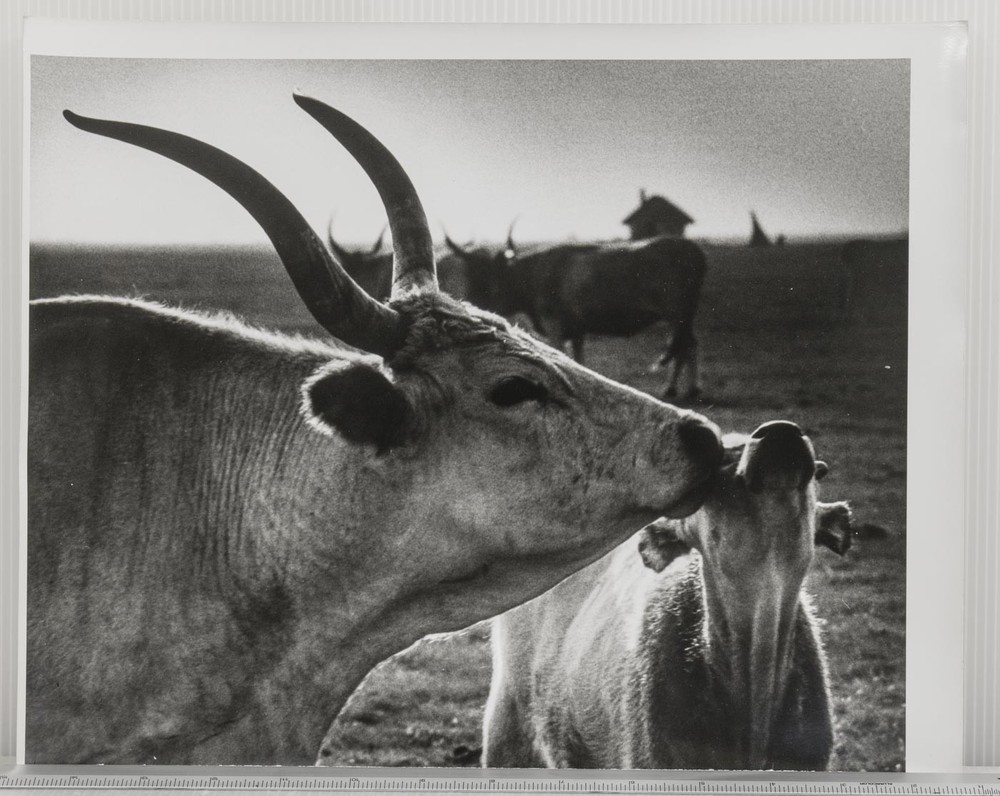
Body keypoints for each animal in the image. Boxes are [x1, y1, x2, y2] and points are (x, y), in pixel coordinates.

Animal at [443, 235, 707, 401]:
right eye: (469, 274)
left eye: (487, 276)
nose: (472, 301)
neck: (533, 274)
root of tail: (691, 248)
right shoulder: (577, 328)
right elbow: (577, 359)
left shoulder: (555, 325)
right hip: (685, 315)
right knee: (688, 344)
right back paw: (686, 389)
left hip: (677, 313)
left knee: (684, 345)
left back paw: (676, 389)